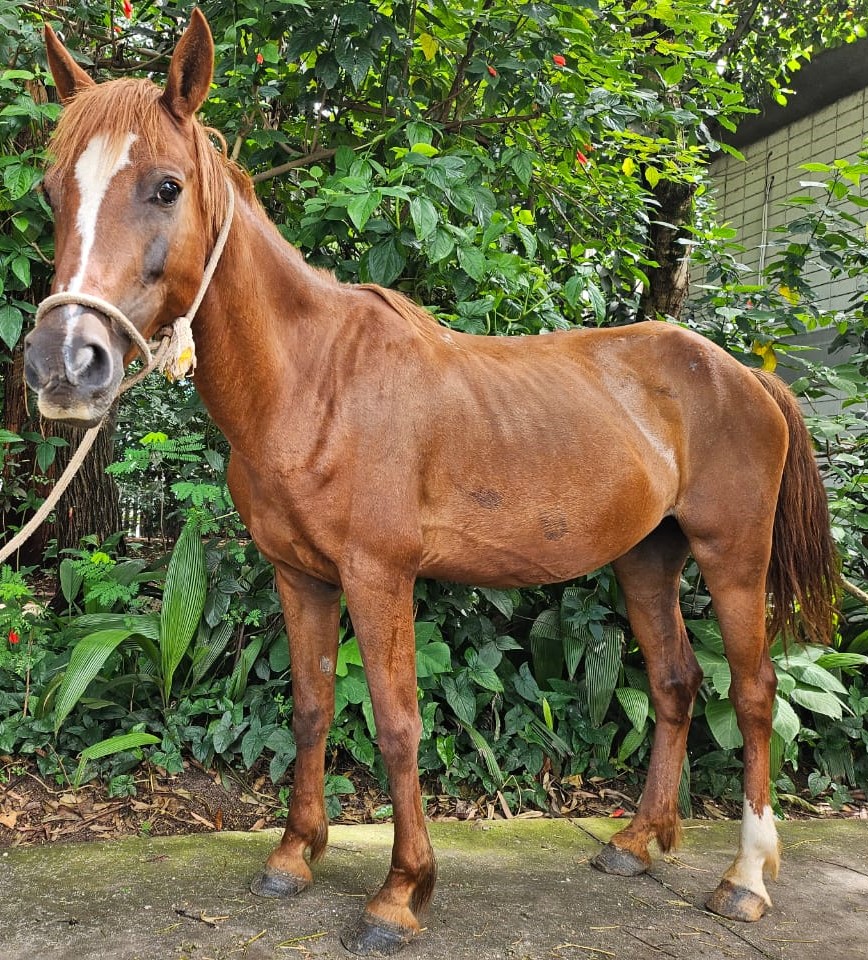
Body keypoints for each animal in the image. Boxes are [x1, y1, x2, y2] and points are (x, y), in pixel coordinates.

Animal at [28, 11, 840, 956]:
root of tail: (744, 374)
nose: (64, 364)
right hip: (648, 558)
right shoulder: (301, 576)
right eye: (52, 192)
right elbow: (311, 708)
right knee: (676, 684)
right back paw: (636, 844)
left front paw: (400, 892)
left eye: (165, 187)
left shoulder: (379, 576)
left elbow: (396, 724)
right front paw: (294, 855)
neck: (313, 383)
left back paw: (745, 878)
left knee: (753, 696)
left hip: (733, 556)